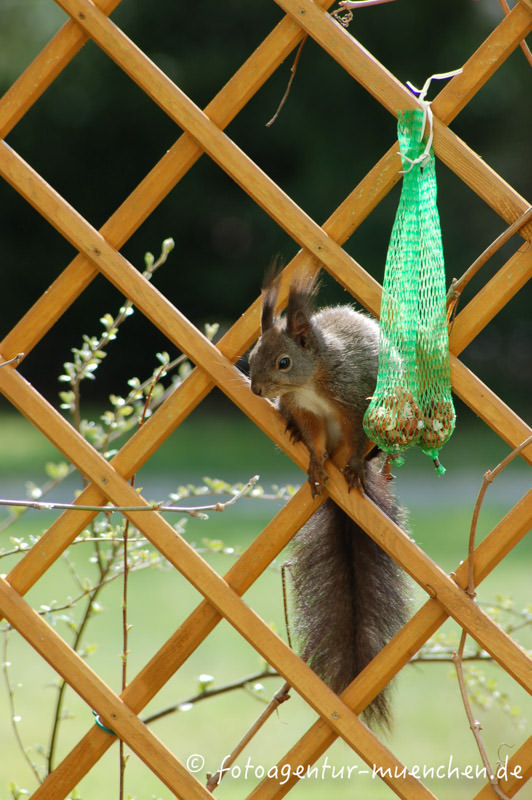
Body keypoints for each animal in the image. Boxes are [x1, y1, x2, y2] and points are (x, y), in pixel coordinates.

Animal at [248, 269, 409, 728]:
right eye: (252, 355)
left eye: (283, 362)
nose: (256, 389)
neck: (312, 380)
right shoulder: (306, 410)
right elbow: (315, 438)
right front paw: (317, 464)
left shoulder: (354, 400)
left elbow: (356, 434)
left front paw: (350, 465)